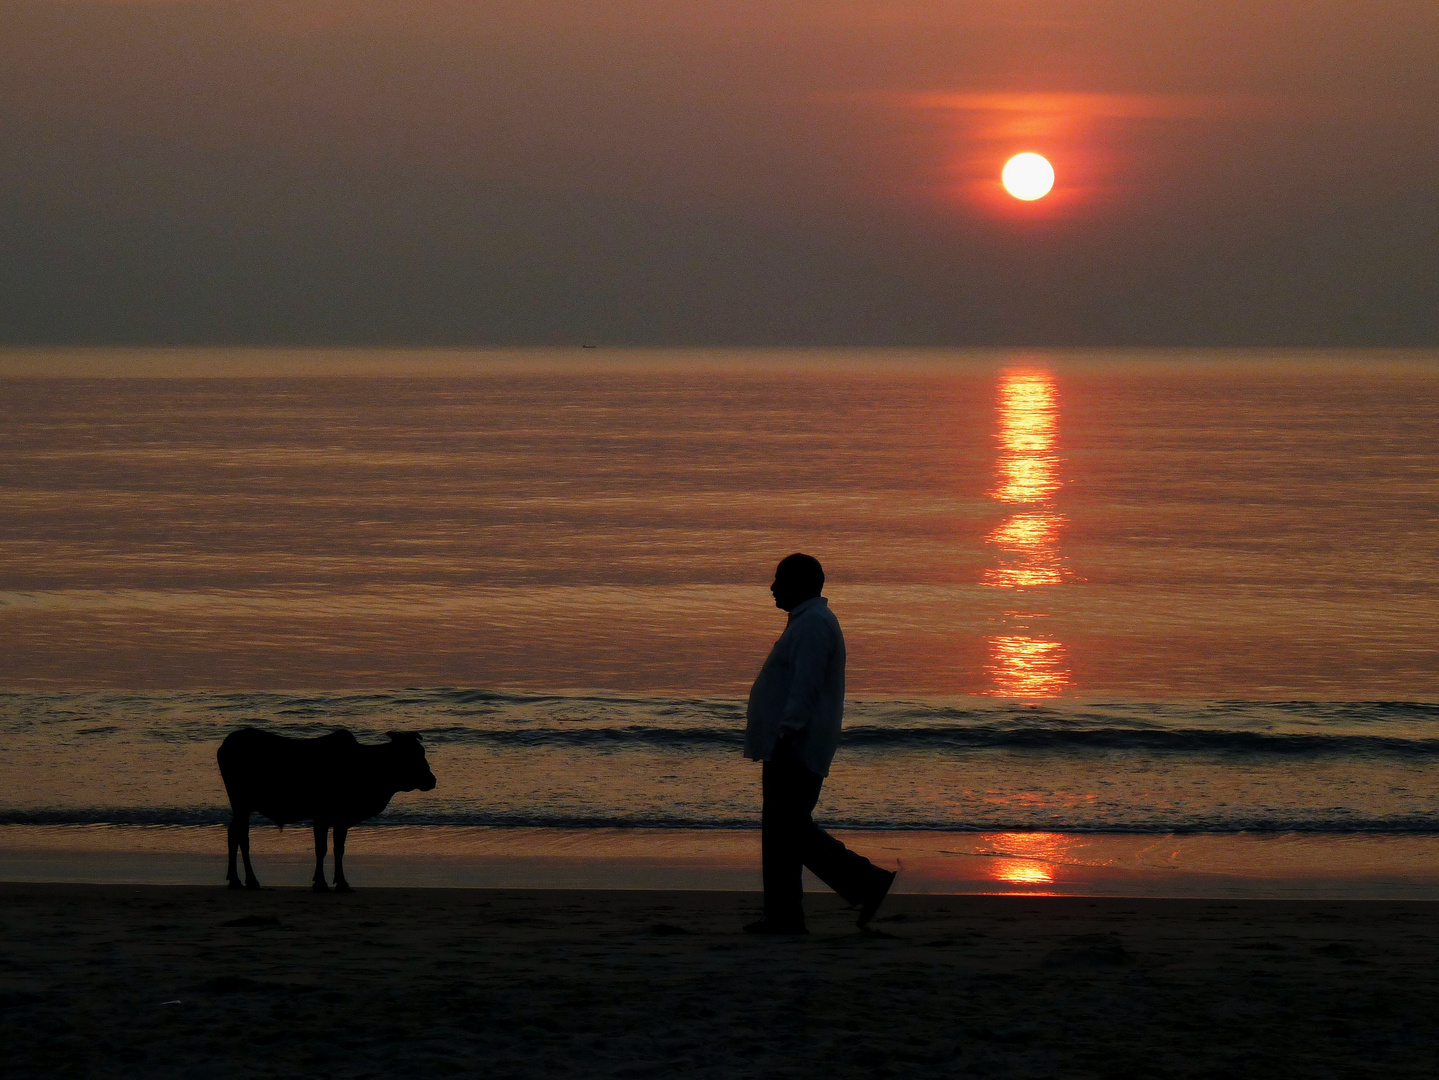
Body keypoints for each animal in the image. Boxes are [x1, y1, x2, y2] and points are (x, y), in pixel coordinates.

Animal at [215, 727, 434, 897]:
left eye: (421, 751)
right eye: (411, 755)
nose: (432, 780)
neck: (368, 768)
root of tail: (224, 746)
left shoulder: (341, 820)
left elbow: (339, 849)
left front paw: (341, 883)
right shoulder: (321, 817)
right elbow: (322, 849)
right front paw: (320, 883)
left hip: (241, 807)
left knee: (233, 833)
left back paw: (235, 880)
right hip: (242, 804)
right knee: (243, 837)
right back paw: (251, 880)